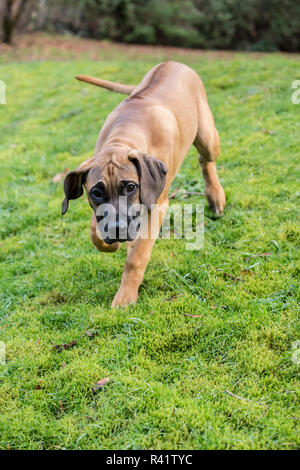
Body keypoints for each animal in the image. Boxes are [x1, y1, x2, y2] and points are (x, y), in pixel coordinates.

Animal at [63, 60, 227, 306]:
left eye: (131, 187)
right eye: (96, 192)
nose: (118, 229)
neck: (123, 139)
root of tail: (172, 62)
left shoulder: (156, 206)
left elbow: (136, 257)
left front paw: (125, 296)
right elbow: (95, 229)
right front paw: (110, 242)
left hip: (207, 137)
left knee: (206, 159)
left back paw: (215, 195)